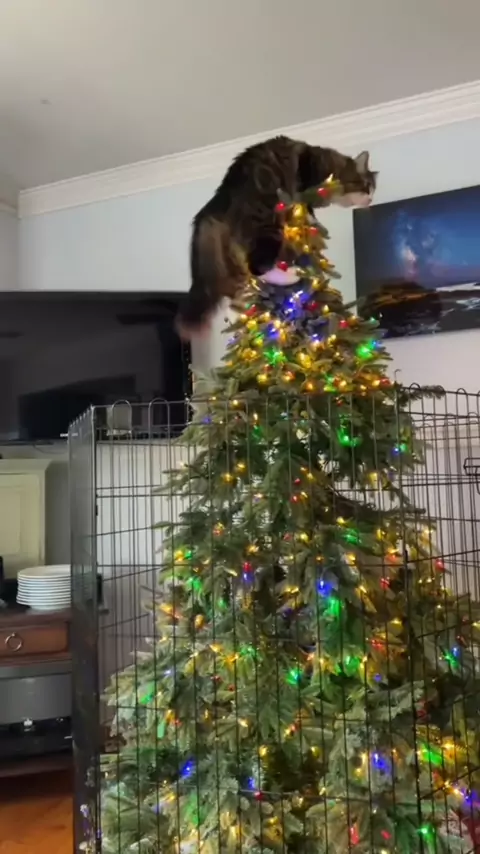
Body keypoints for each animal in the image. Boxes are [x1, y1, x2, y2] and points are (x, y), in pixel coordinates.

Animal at [176, 136, 377, 338]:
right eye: (368, 188)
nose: (370, 200)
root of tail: (215, 202)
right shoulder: (307, 170)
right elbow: (306, 205)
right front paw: (311, 219)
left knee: (239, 290)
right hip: (267, 223)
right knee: (259, 268)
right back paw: (291, 276)